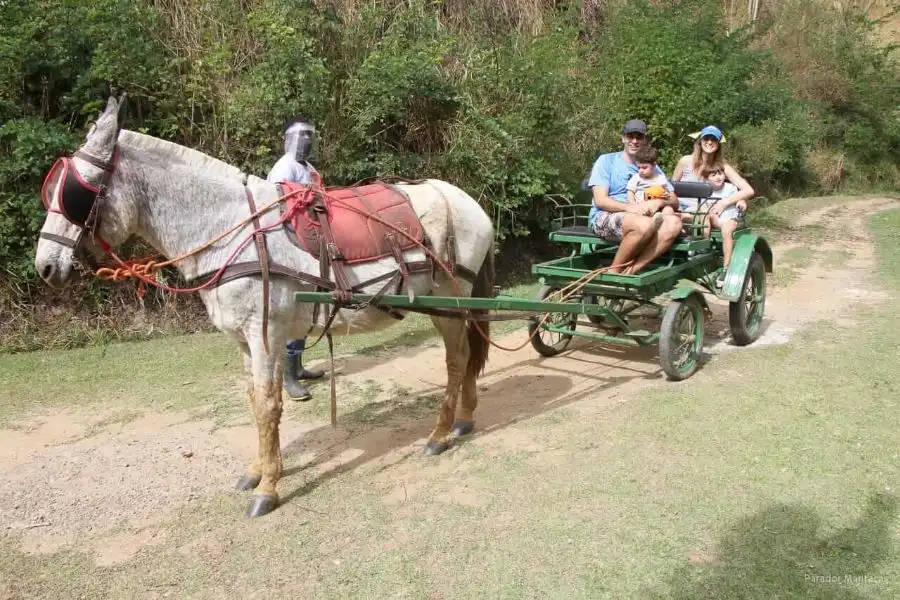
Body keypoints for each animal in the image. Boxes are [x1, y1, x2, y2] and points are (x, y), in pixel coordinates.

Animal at [35, 96, 496, 516]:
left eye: (74, 192)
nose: (44, 265)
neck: (230, 229)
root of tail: (469, 202)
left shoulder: (266, 334)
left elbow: (269, 405)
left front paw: (269, 489)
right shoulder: (244, 338)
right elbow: (255, 402)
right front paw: (257, 472)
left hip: (451, 301)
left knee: (457, 359)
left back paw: (439, 433)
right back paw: (464, 418)